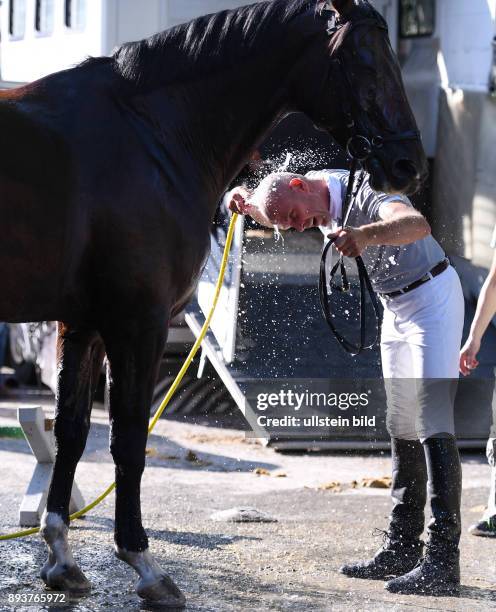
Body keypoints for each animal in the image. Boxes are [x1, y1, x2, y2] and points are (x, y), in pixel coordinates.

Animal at [0, 0, 426, 608]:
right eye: (366, 62)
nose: (408, 164)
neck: (151, 134)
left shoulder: (82, 324)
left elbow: (73, 431)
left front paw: (61, 558)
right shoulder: (138, 324)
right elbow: (129, 441)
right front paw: (146, 565)